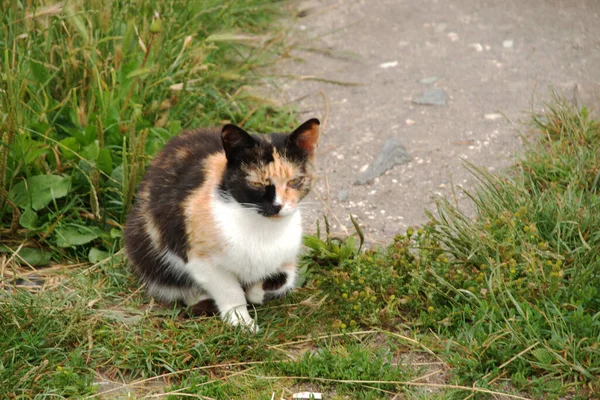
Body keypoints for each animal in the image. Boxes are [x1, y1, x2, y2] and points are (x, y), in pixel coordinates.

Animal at [124, 118, 322, 332]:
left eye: (295, 181)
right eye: (256, 184)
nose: (278, 206)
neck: (261, 228)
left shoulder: (288, 254)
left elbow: (281, 279)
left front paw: (254, 293)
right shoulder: (199, 259)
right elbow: (229, 290)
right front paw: (241, 321)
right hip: (145, 245)